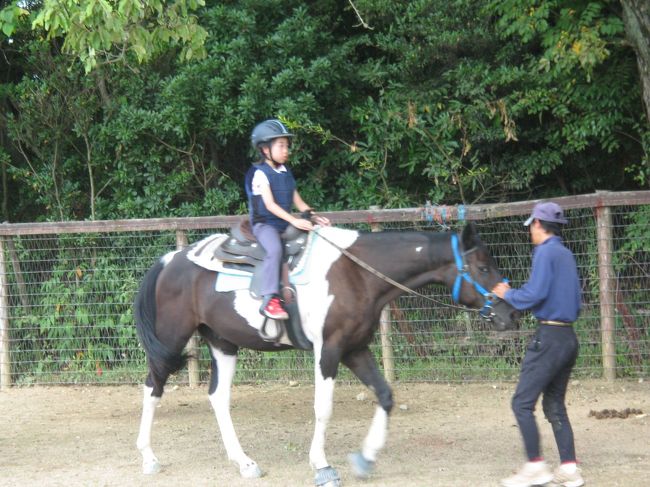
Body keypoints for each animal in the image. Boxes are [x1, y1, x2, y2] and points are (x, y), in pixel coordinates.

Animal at [134, 222, 519, 486]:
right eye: (483, 268)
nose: (510, 314)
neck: (358, 274)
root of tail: (171, 260)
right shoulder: (328, 349)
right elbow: (323, 409)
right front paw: (322, 465)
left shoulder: (355, 349)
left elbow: (385, 395)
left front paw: (365, 459)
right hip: (171, 339)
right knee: (152, 387)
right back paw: (148, 457)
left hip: (223, 343)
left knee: (218, 398)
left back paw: (244, 462)